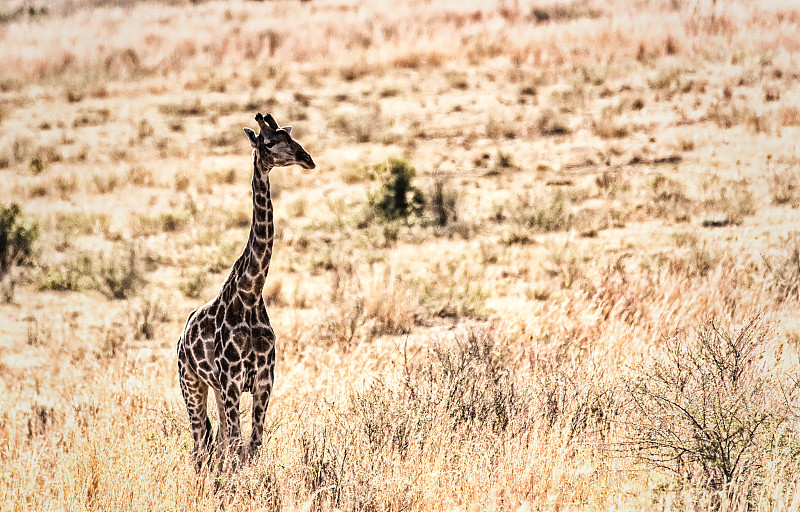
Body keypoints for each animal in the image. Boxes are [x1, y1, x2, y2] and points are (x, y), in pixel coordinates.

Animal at [177, 112, 314, 464]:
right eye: (269, 142)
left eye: (291, 136)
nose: (307, 158)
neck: (250, 293)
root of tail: (181, 338)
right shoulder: (233, 382)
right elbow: (240, 448)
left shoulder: (264, 381)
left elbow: (252, 446)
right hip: (192, 385)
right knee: (199, 447)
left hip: (214, 389)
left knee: (218, 443)